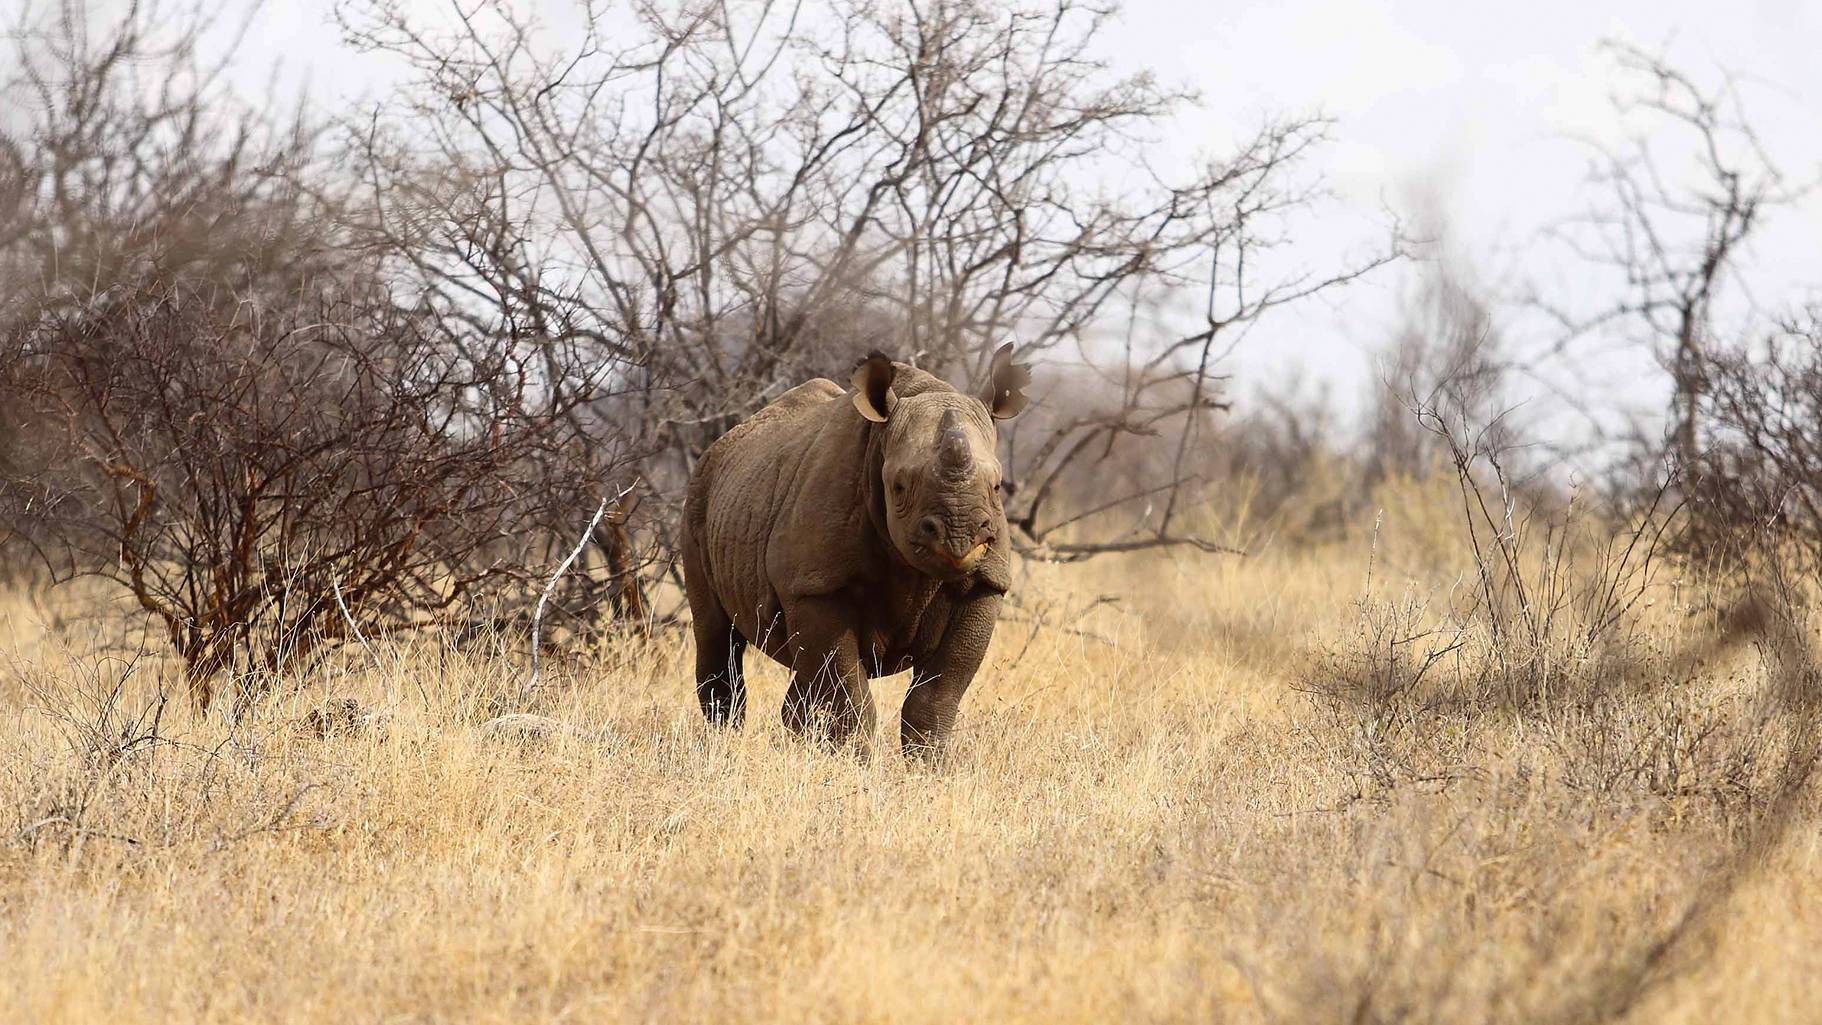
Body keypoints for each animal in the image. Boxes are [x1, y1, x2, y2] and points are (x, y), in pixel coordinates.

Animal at [680, 344, 1031, 756]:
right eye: (898, 486)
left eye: (996, 486)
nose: (959, 537)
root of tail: (724, 443)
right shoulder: (816, 586)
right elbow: (849, 696)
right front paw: (855, 762)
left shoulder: (985, 583)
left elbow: (936, 696)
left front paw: (931, 765)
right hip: (698, 496)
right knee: (716, 635)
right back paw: (725, 745)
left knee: (803, 671)